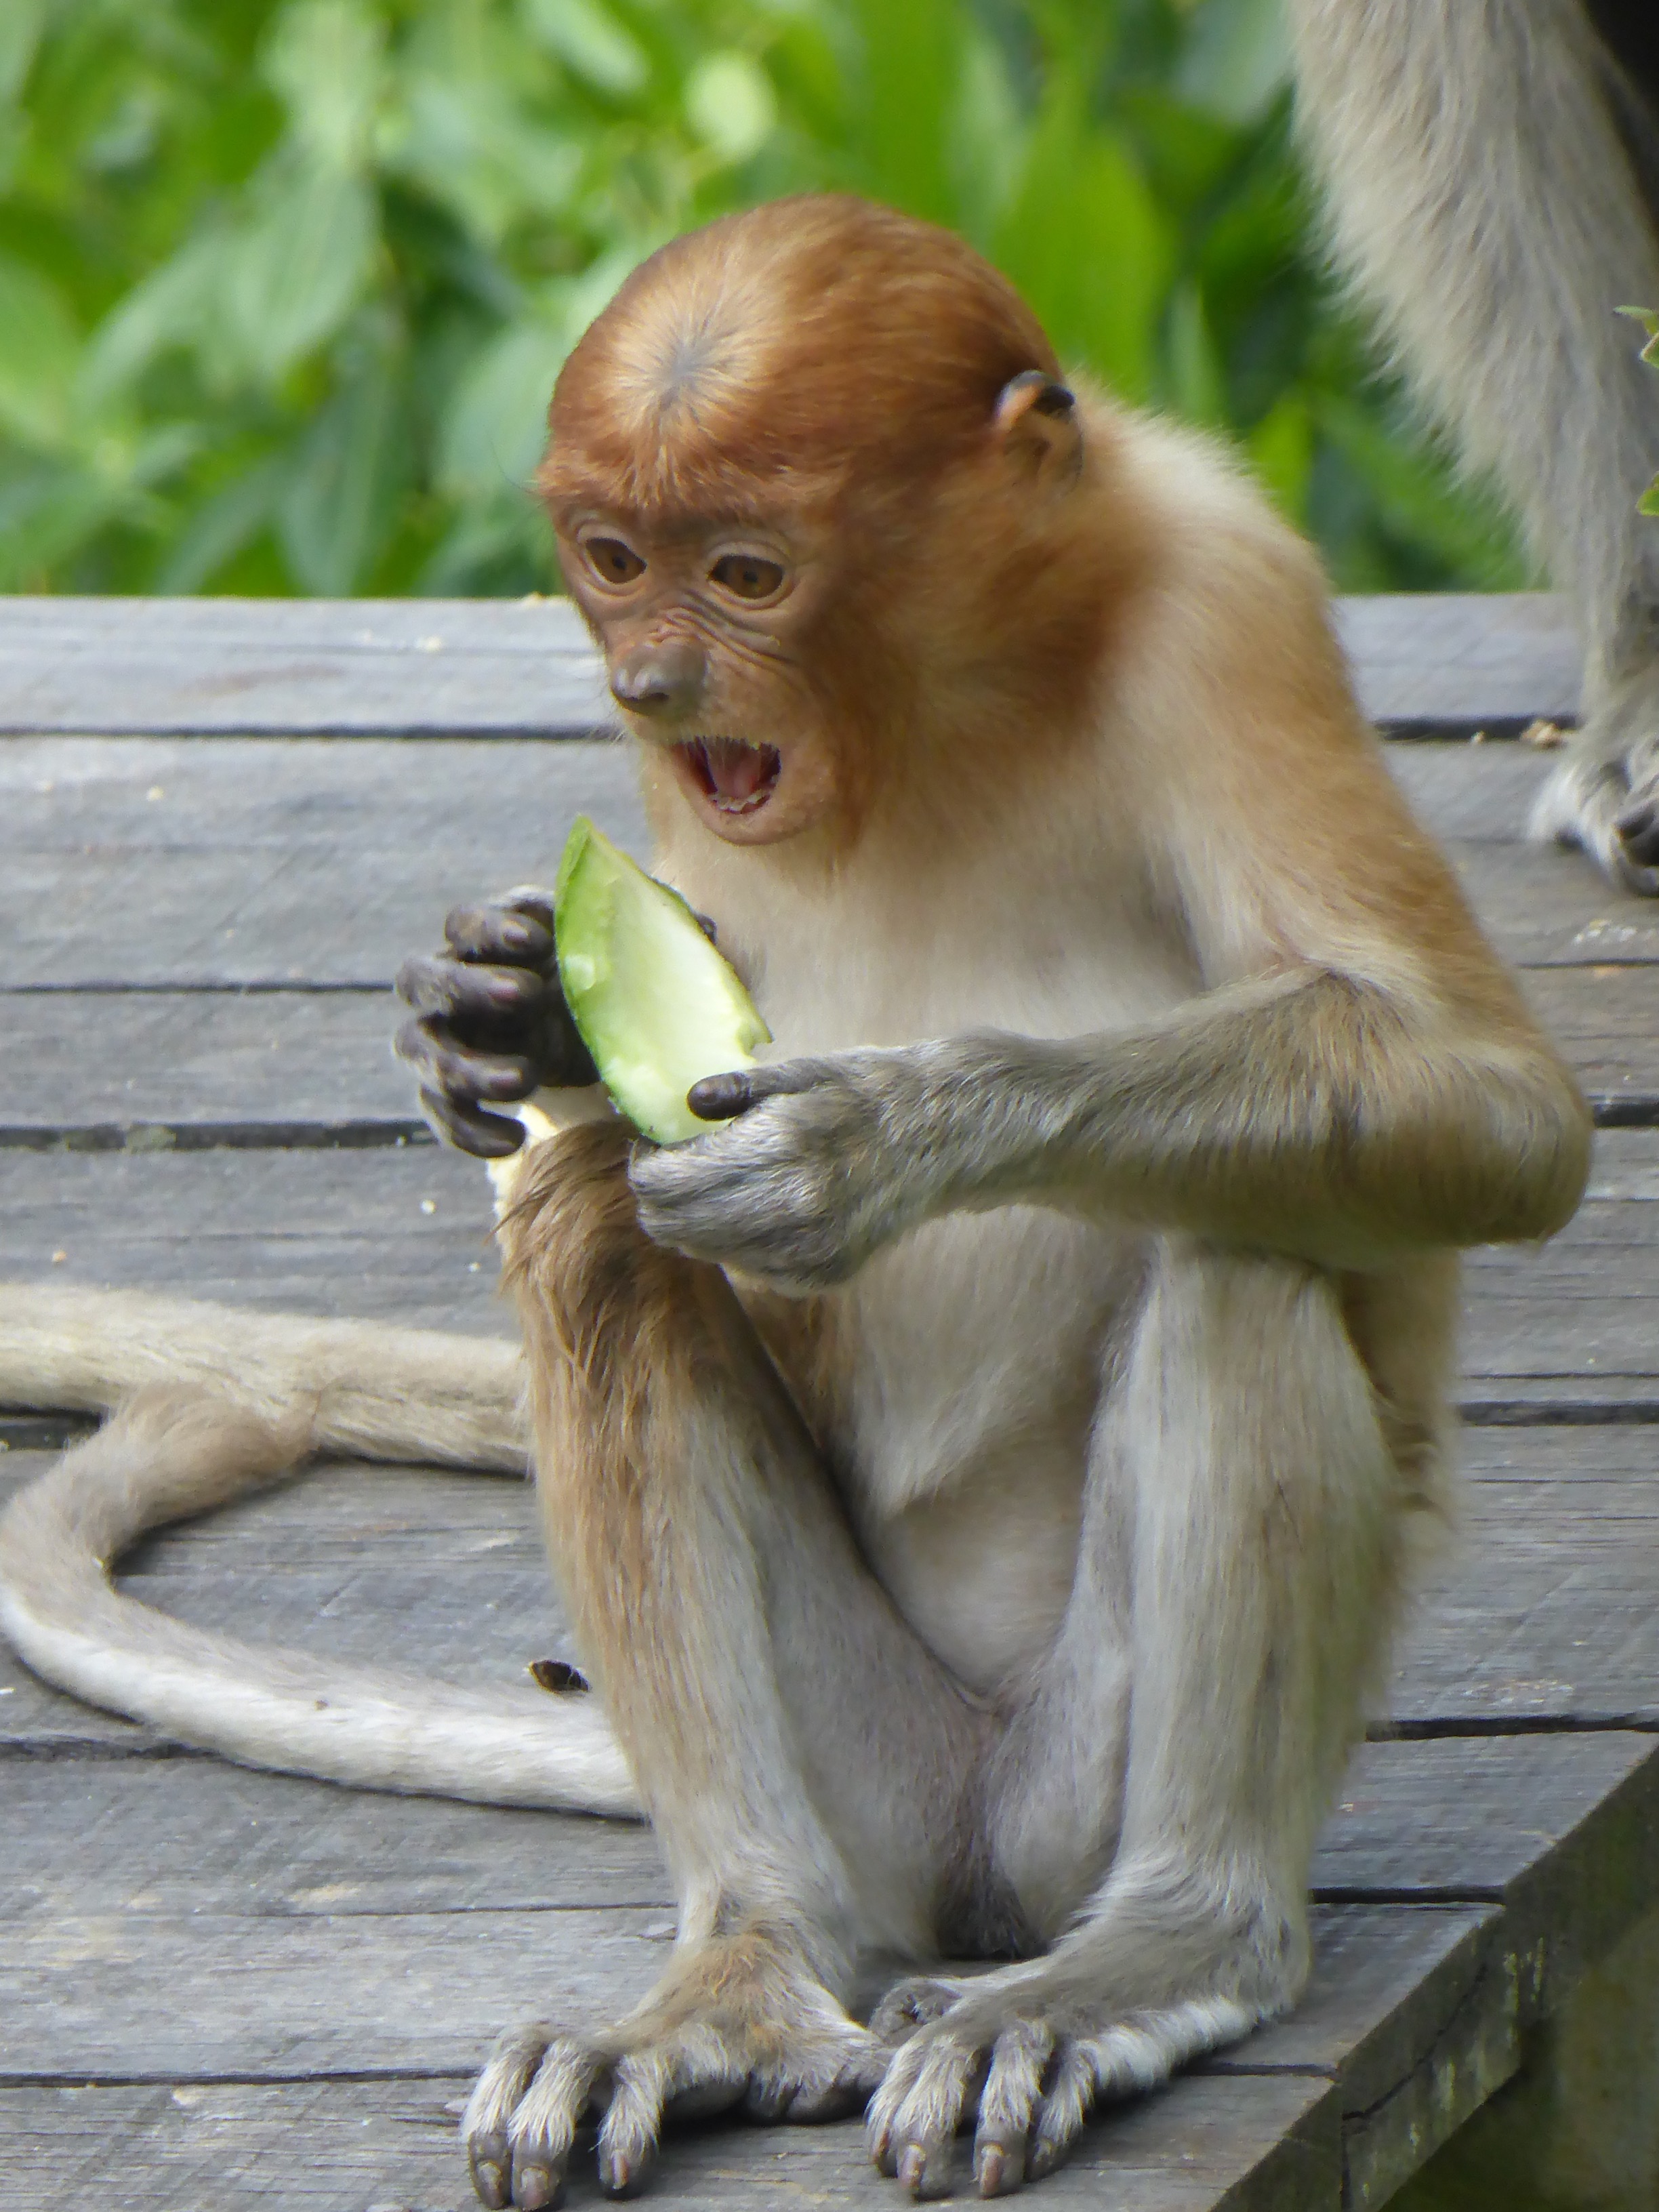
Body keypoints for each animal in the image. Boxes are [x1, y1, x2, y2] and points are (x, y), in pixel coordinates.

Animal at [0, 195, 1590, 2205]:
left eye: (745, 573)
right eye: (614, 560)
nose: (650, 687)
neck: (947, 695)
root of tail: (977, 1854)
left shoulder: (1228, 599)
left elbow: (1491, 1099)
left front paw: (880, 1139)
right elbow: (626, 1164)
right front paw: (496, 1003)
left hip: (1068, 1788)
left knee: (1240, 1244)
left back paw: (1159, 1951)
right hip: (879, 1784)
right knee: (589, 1233)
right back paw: (738, 1975)